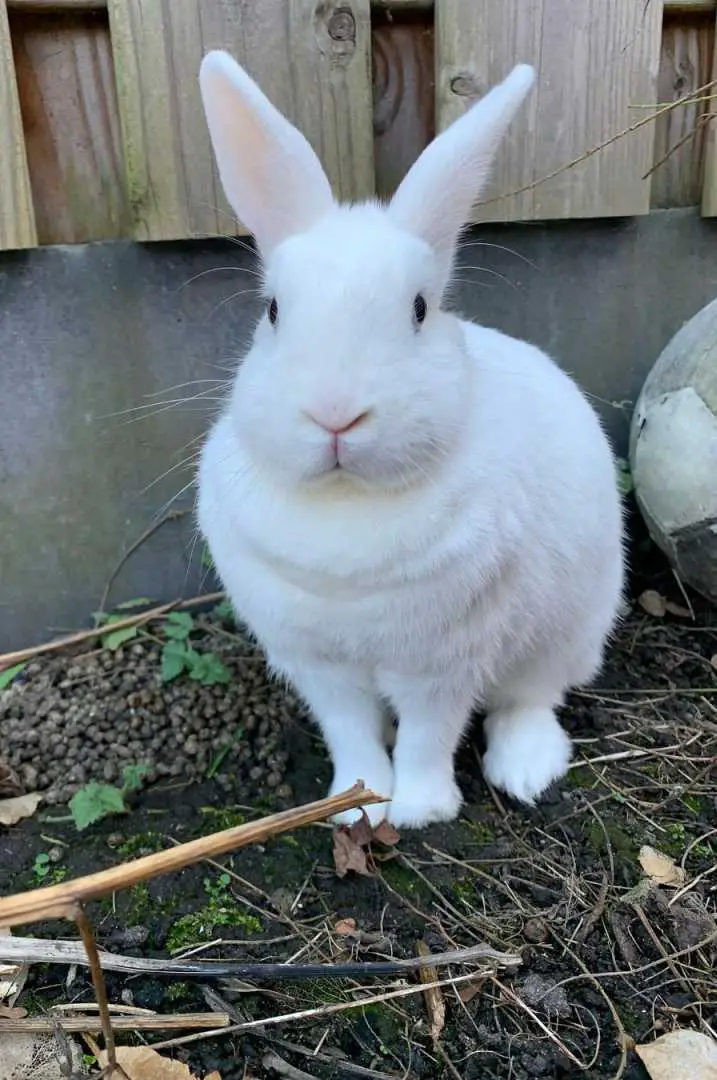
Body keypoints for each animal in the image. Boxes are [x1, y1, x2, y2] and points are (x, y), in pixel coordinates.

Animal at [194, 48, 621, 825]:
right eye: (273, 312)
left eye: (420, 309)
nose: (335, 414)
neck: (346, 505)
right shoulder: (321, 667)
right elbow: (352, 734)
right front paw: (356, 806)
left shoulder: (442, 662)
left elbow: (430, 732)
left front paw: (421, 810)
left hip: (567, 631)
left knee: (527, 700)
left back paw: (526, 769)